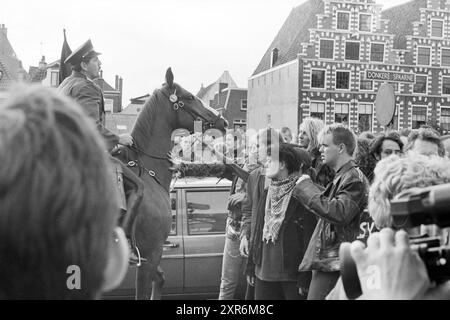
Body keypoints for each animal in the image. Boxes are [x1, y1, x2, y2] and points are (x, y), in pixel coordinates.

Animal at [117, 68, 229, 300]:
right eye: (190, 97)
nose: (222, 122)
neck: (149, 171)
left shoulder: (152, 258)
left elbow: (161, 279)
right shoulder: (150, 254)